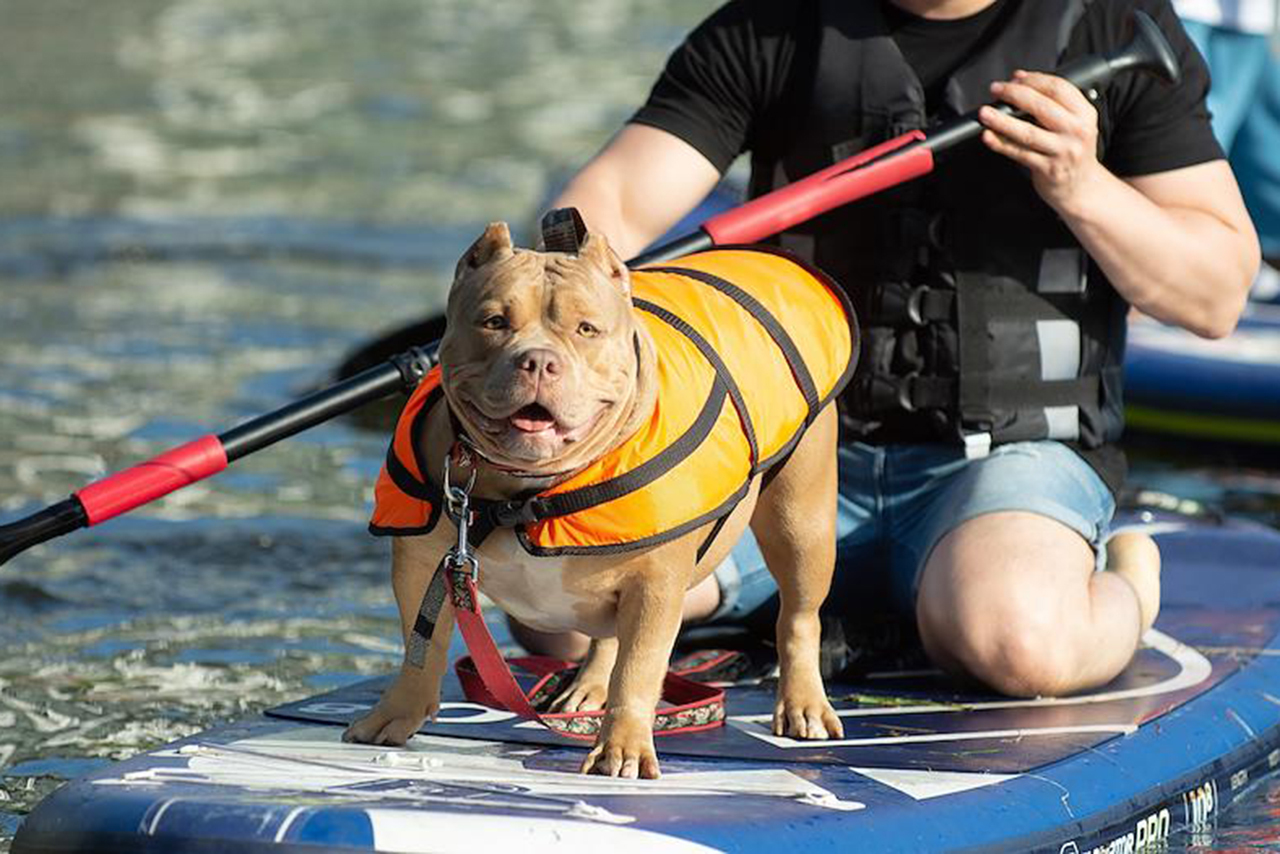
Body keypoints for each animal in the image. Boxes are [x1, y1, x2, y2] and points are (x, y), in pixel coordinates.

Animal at [343, 222, 849, 783]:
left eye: (586, 329)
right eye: (494, 322)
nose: (538, 360)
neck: (526, 488)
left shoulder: (656, 587)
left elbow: (640, 669)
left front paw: (622, 747)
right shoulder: (422, 562)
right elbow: (422, 643)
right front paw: (396, 714)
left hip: (800, 523)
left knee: (799, 616)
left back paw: (804, 705)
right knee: (607, 635)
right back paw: (588, 688)